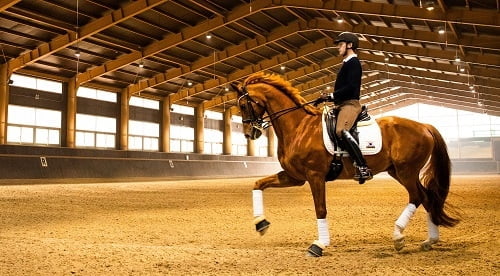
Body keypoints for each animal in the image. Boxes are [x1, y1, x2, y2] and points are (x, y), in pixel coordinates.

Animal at [232, 71, 458, 256]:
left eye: (243, 105)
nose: (250, 134)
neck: (299, 126)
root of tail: (424, 126)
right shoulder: (295, 177)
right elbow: (258, 184)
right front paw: (260, 223)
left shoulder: (315, 176)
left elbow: (320, 209)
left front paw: (319, 245)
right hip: (398, 171)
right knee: (427, 198)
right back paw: (429, 241)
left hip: (406, 171)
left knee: (417, 197)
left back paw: (398, 236)